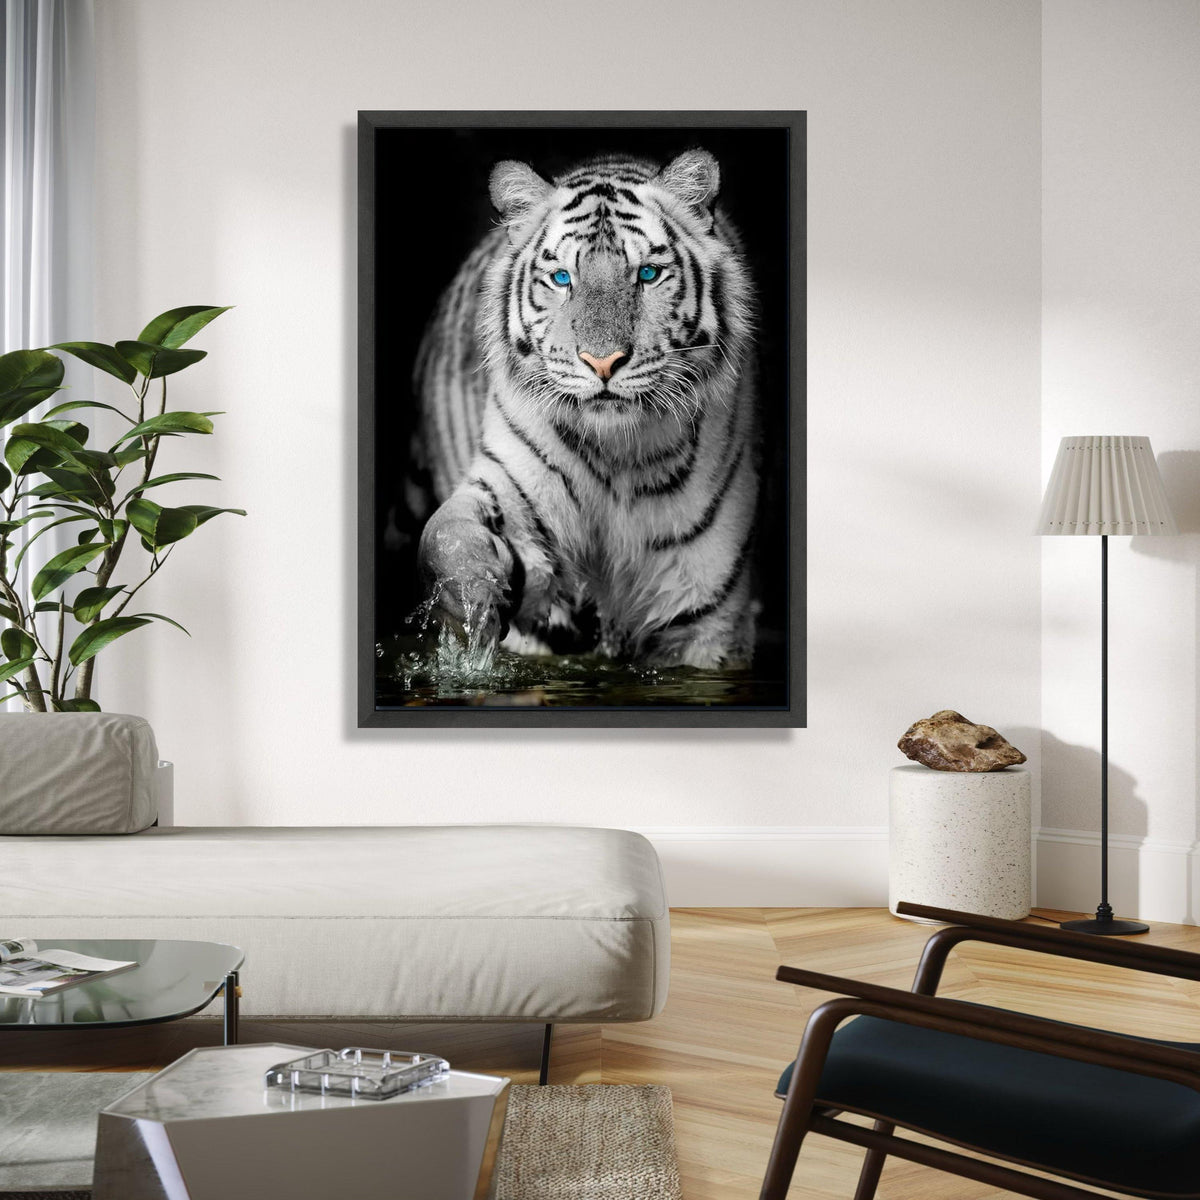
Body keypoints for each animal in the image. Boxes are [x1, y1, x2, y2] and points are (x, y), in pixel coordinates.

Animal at [411, 148, 760, 669]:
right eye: (562, 279)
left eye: (647, 274)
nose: (602, 362)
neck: (617, 454)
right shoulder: (510, 488)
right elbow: (446, 534)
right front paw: (473, 599)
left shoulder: (707, 617)